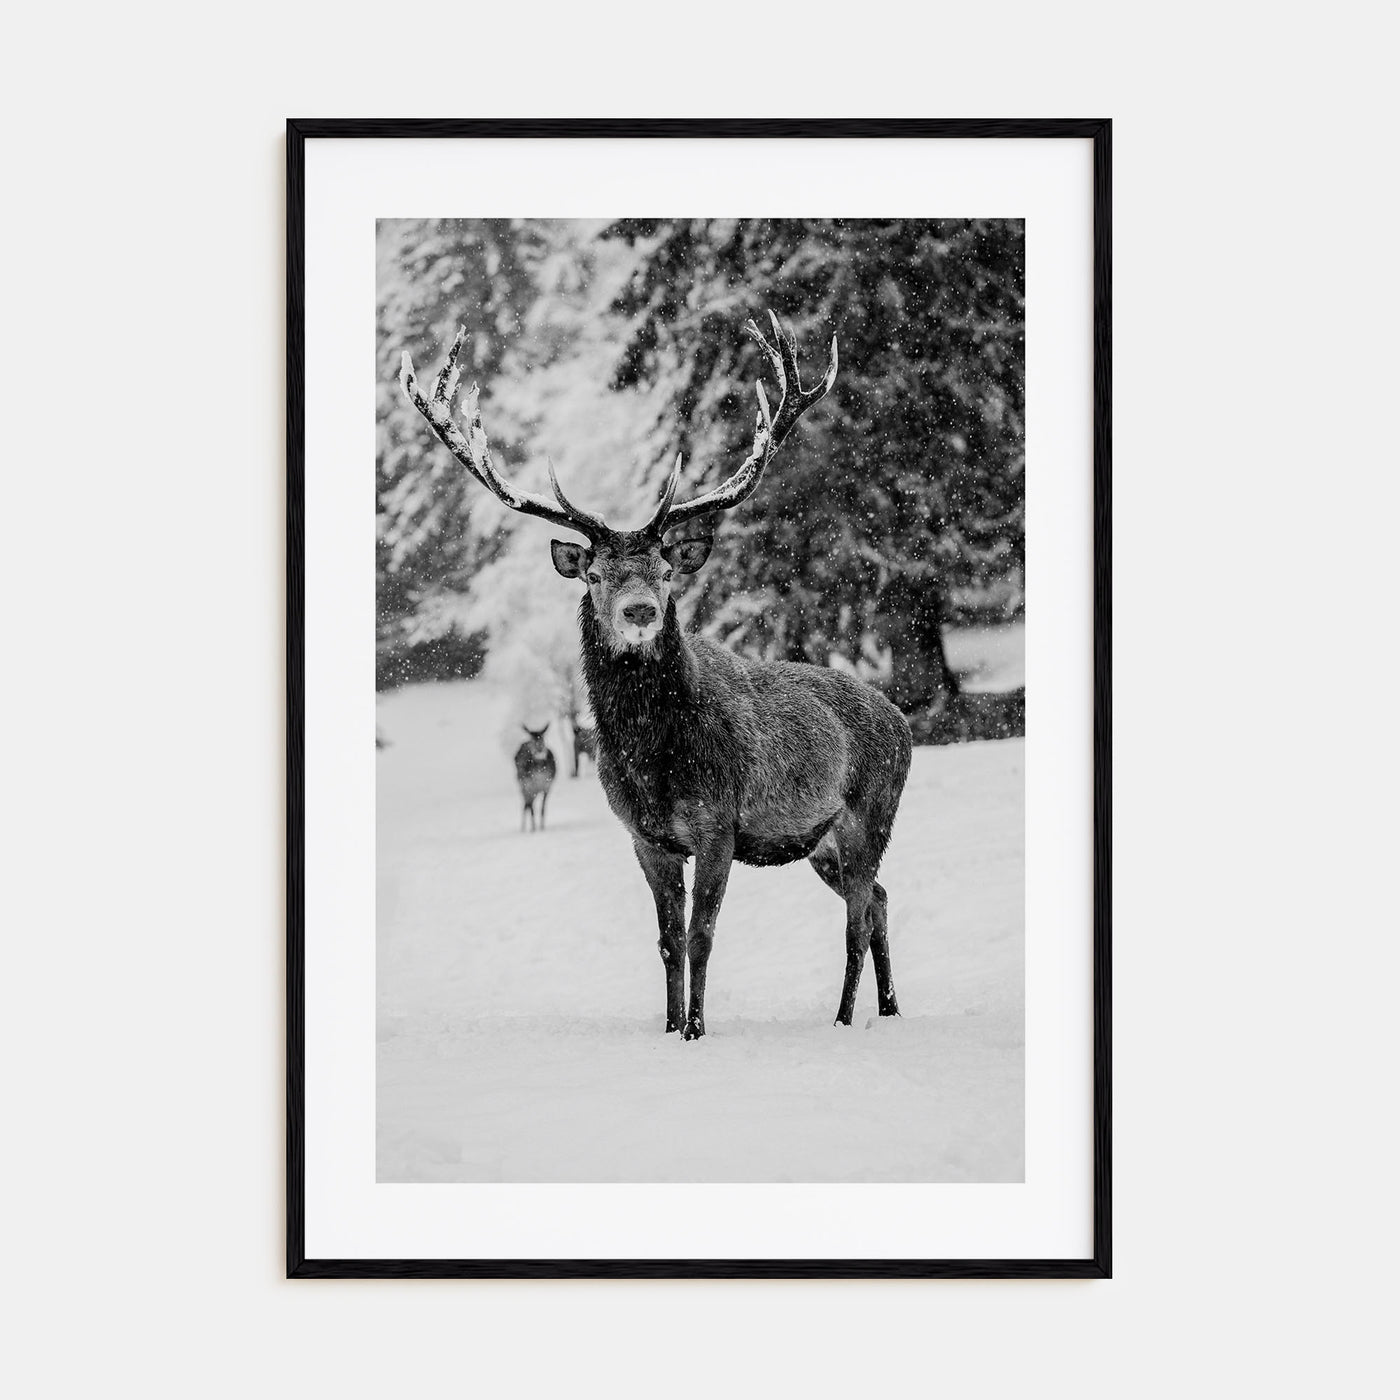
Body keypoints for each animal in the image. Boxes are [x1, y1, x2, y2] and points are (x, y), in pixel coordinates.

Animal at [401, 312, 912, 1038]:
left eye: (667, 571)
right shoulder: (645, 837)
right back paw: (888, 1008)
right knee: (880, 901)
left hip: (873, 810)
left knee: (857, 916)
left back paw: (844, 1018)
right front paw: (669, 1029)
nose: (640, 609)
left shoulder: (718, 822)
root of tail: (903, 720)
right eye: (594, 573)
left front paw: (697, 1029)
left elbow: (702, 935)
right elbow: (668, 940)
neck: (650, 758)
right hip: (820, 841)